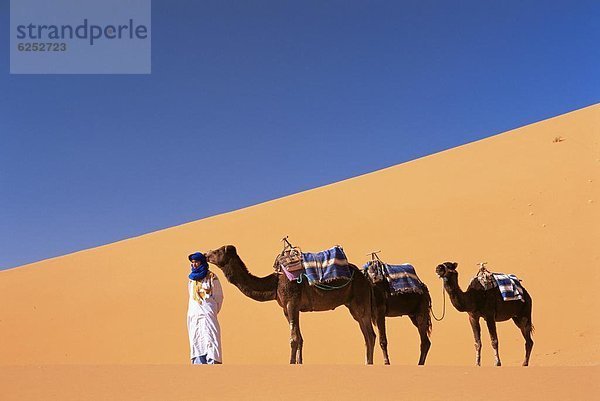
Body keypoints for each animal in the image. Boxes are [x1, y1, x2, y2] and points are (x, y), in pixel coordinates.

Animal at [206, 245, 376, 364]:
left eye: (218, 251)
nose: (206, 254)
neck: (275, 283)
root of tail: (364, 276)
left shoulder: (292, 302)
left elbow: (293, 339)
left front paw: (291, 363)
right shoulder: (287, 309)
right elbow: (299, 338)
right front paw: (299, 363)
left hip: (360, 300)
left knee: (370, 334)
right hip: (353, 305)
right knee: (368, 335)